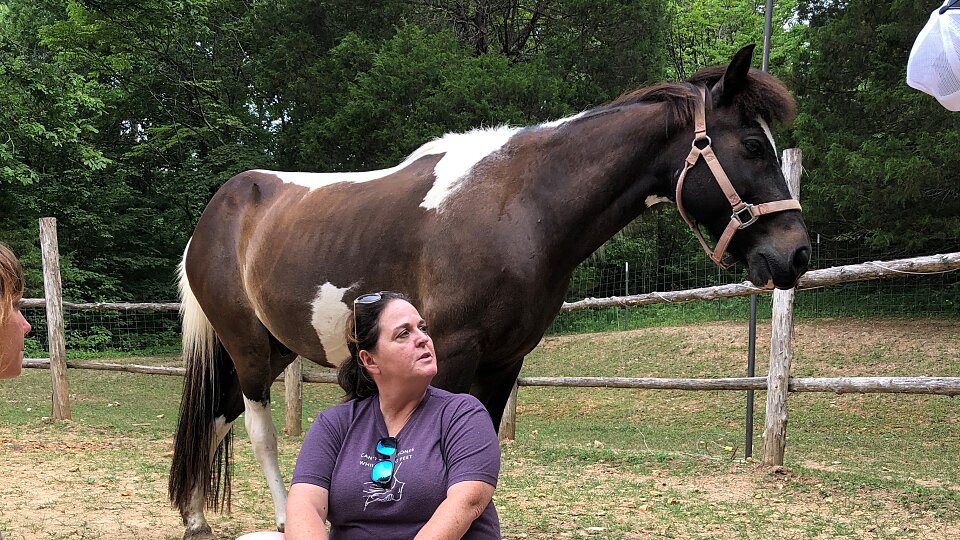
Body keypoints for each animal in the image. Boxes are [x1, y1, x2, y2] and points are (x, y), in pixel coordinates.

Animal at [171, 44, 808, 536]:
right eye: (753, 145)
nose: (797, 253)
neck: (519, 207)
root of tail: (218, 210)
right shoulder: (450, 355)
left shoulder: (503, 363)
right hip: (249, 351)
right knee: (257, 432)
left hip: (274, 348)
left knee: (214, 419)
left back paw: (196, 517)